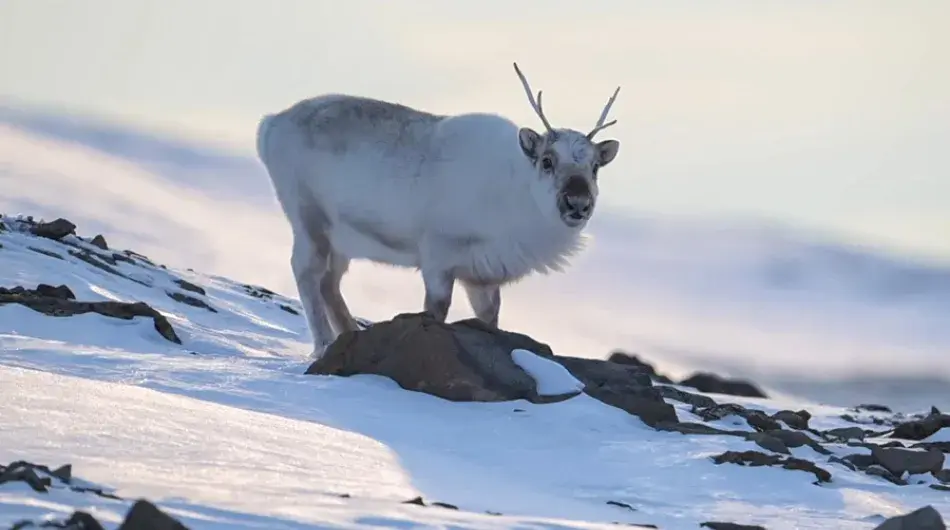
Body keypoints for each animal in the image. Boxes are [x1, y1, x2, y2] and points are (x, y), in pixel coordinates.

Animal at [256, 63, 622, 359]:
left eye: (594, 168)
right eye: (547, 161)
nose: (578, 203)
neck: (514, 197)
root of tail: (270, 124)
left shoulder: (482, 275)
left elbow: (490, 318)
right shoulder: (438, 257)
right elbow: (436, 312)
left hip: (341, 239)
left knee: (330, 283)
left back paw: (351, 333)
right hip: (308, 218)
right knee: (307, 272)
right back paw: (324, 345)